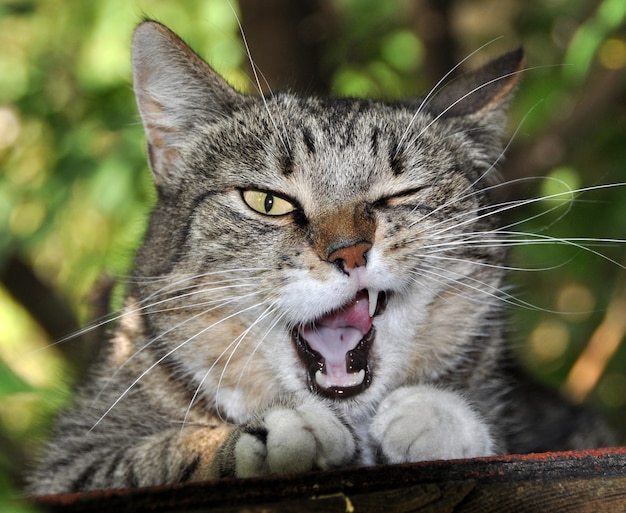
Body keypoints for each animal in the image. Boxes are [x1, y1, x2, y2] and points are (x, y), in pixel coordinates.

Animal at [26, 19, 612, 492]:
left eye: (400, 195)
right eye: (268, 202)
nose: (350, 252)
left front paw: (436, 416)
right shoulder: (67, 465)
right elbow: (152, 456)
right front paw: (273, 438)